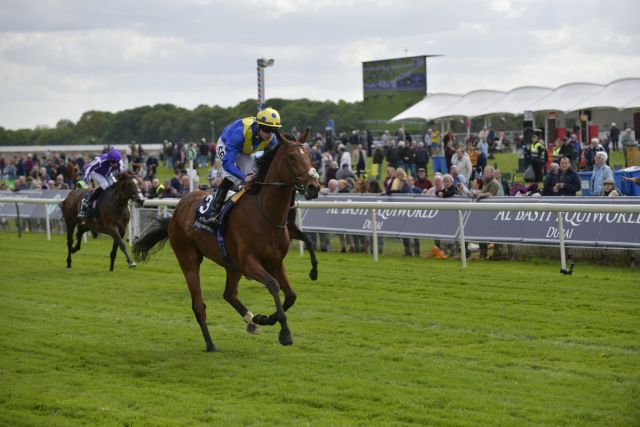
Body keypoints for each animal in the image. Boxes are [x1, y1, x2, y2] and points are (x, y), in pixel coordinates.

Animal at [137, 130, 322, 352]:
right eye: (291, 157)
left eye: (310, 155)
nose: (314, 187)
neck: (265, 213)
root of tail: (177, 210)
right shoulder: (249, 262)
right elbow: (273, 285)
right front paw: (285, 333)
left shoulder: (275, 262)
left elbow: (291, 295)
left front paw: (264, 318)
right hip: (189, 258)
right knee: (199, 305)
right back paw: (210, 344)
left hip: (232, 265)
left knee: (228, 294)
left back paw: (251, 320)